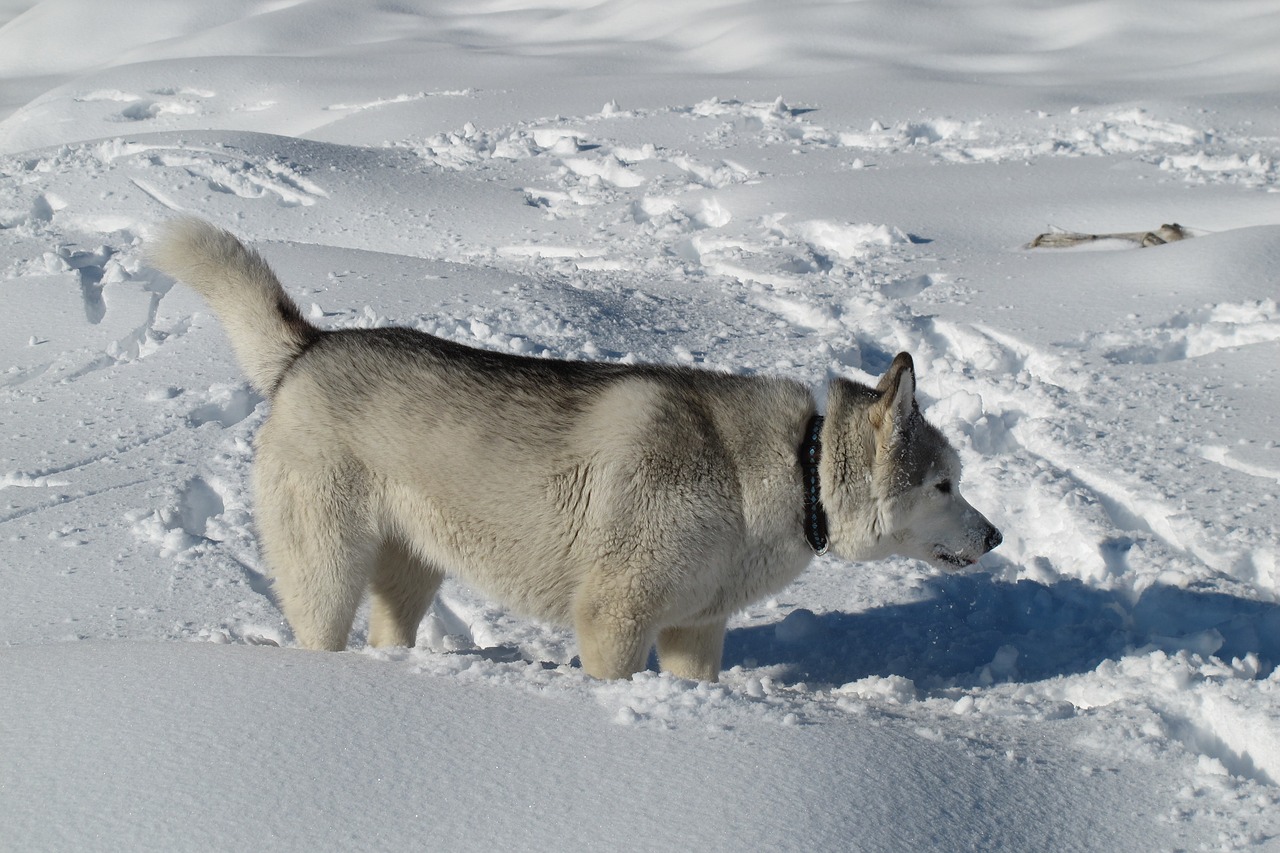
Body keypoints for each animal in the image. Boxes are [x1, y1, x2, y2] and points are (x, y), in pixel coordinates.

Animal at [149, 217, 1003, 676]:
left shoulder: (694, 630)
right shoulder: (613, 620)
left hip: (412, 570)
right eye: (945, 485)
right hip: (326, 574)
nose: (996, 535)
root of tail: (311, 348)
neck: (790, 472)